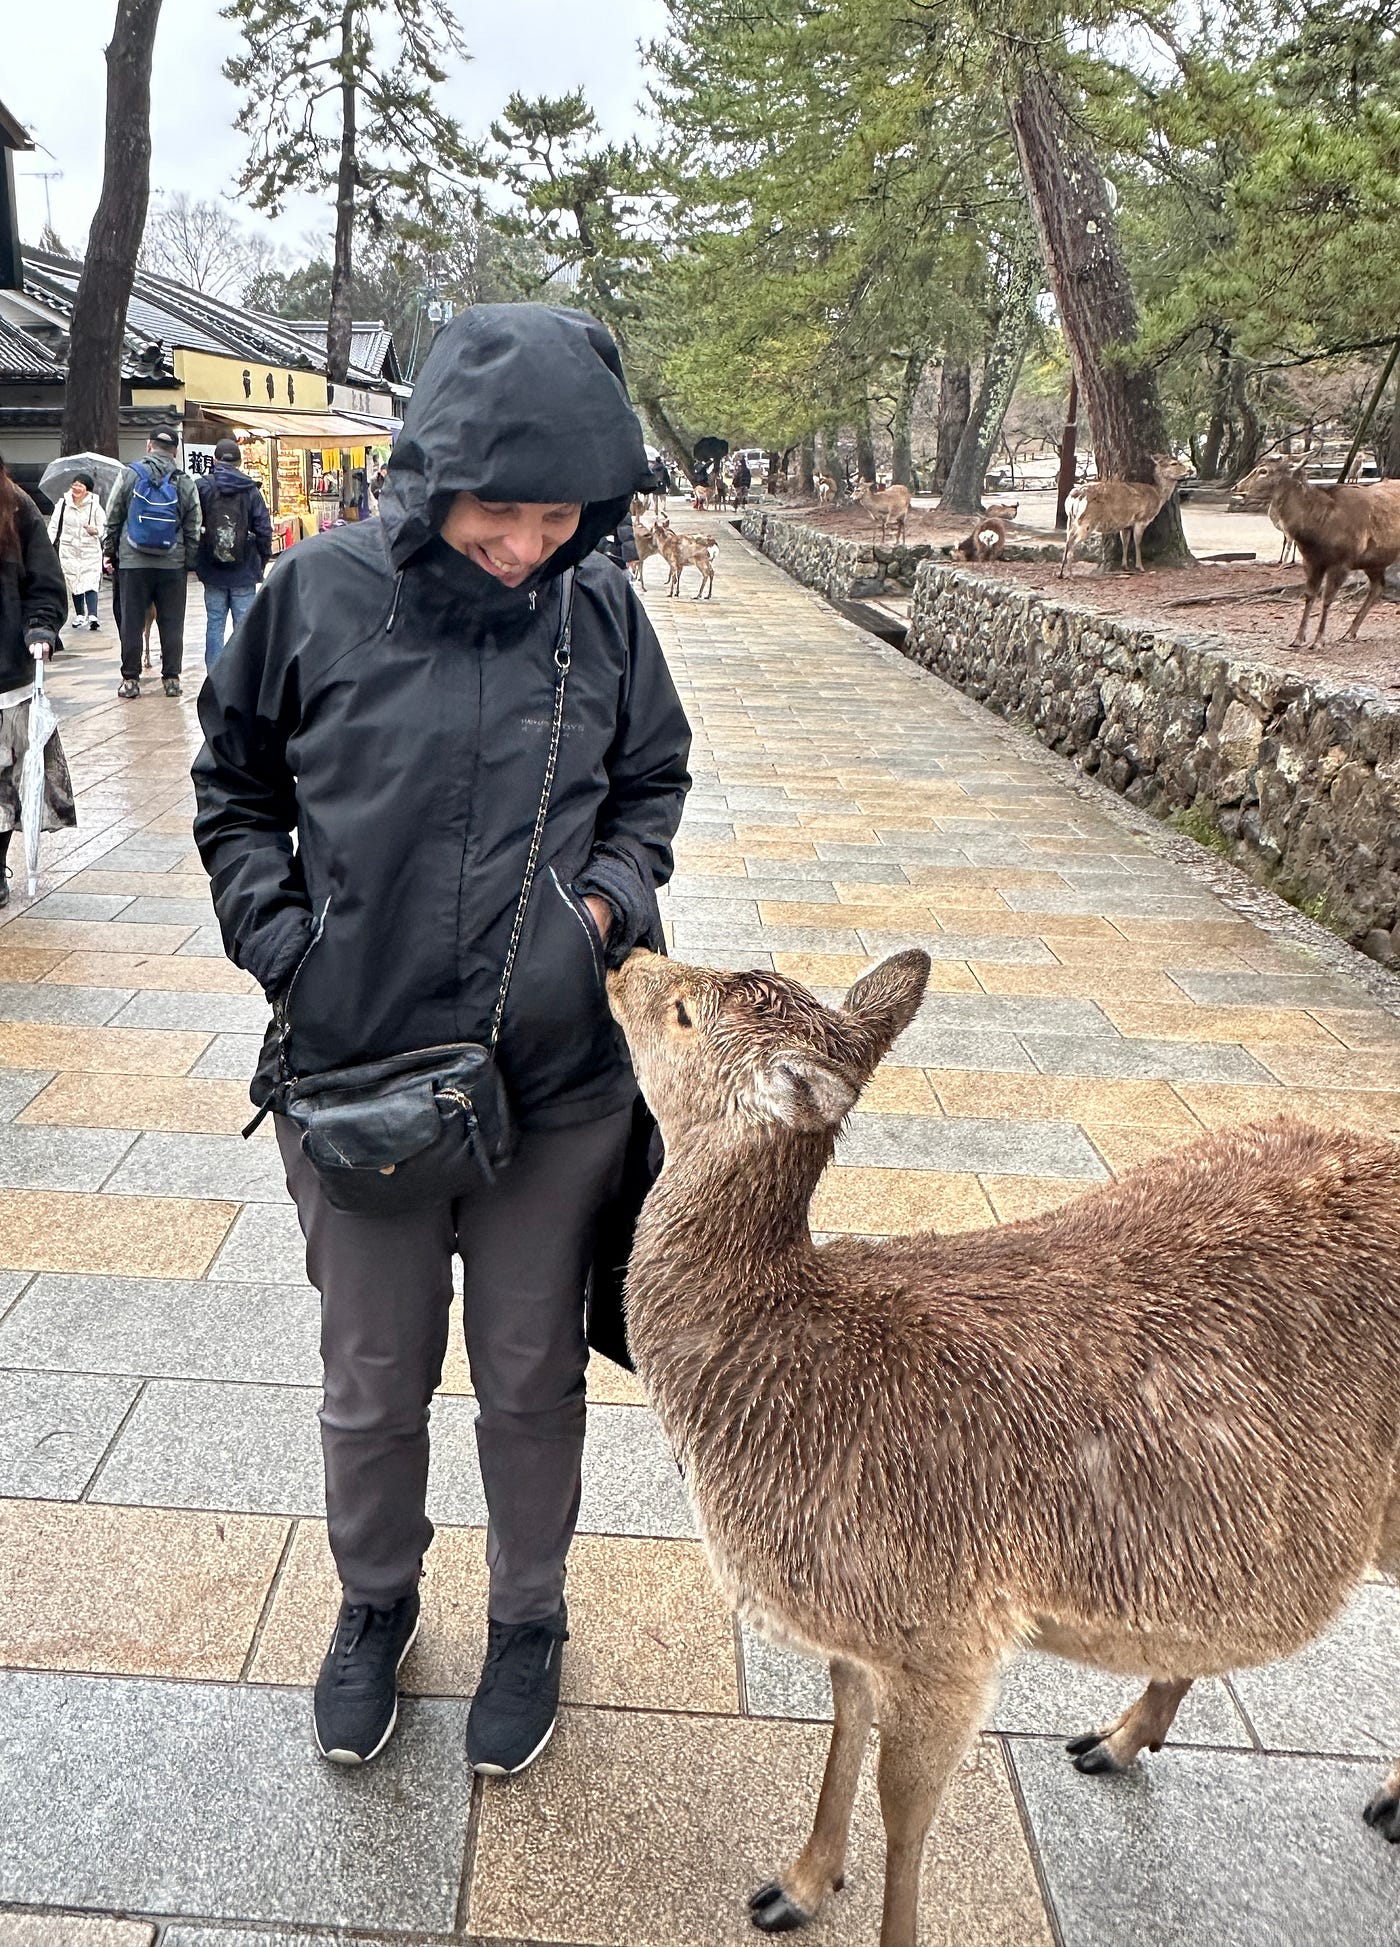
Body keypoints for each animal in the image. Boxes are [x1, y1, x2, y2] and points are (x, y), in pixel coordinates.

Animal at [607, 944, 1400, 1947]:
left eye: (682, 1010)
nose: (625, 956)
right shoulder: (866, 1617)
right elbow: (842, 1722)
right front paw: (796, 1884)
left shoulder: (950, 1626)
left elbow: (905, 1810)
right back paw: (1116, 1738)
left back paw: (1386, 1799)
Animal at [1059, 455, 1192, 578]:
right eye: (1174, 463)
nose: (1190, 470)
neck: (1158, 496)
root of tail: (1073, 497)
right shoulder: (1141, 519)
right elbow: (1138, 542)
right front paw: (1140, 567)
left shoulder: (1126, 524)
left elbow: (1125, 542)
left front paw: (1125, 566)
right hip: (1087, 521)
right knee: (1072, 543)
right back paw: (1070, 574)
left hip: (1071, 520)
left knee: (1067, 541)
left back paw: (1061, 573)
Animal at [1234, 457, 1400, 647]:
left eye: (1264, 471)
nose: (1237, 487)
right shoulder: (1312, 561)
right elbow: (1309, 595)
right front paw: (1298, 639)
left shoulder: (1342, 561)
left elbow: (1327, 598)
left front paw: (1318, 640)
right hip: (1375, 562)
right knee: (1378, 587)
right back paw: (1349, 633)